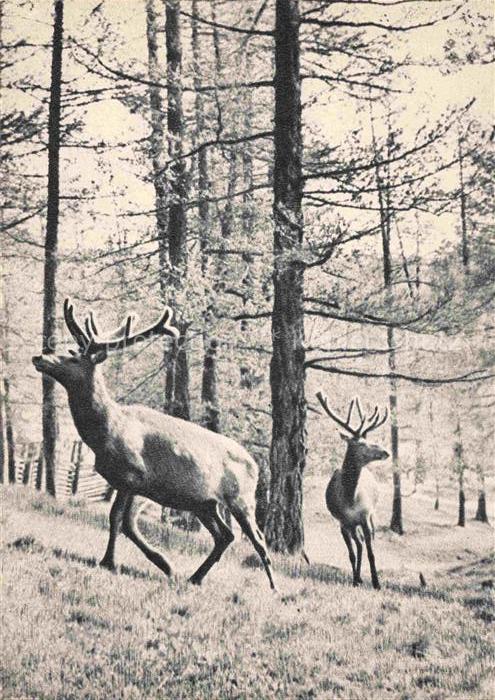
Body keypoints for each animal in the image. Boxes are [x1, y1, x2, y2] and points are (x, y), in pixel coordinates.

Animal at [32, 299, 275, 589]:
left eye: (73, 357)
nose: (39, 357)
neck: (106, 433)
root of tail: (256, 466)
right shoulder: (139, 485)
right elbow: (127, 524)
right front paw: (165, 565)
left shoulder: (132, 474)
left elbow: (117, 519)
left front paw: (111, 562)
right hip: (205, 503)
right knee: (225, 536)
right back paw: (195, 577)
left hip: (241, 498)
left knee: (258, 538)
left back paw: (273, 587)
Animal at [316, 391, 389, 590]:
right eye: (362, 443)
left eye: (369, 439)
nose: (386, 452)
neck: (349, 499)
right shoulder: (343, 523)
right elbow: (351, 554)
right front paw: (355, 579)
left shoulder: (365, 516)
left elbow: (371, 552)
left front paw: (376, 583)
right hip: (351, 525)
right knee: (359, 544)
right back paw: (358, 577)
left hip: (370, 517)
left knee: (365, 541)